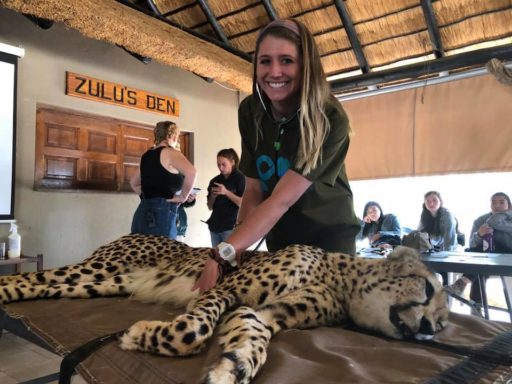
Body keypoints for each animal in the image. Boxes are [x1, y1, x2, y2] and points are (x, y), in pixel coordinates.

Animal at [0, 232, 448, 382]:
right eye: (427, 288)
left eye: (444, 325)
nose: (428, 329)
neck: (340, 279)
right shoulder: (224, 291)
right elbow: (193, 330)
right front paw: (141, 335)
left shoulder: (262, 313)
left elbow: (253, 342)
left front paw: (231, 368)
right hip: (101, 267)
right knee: (27, 279)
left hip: (101, 283)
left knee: (36, 285)